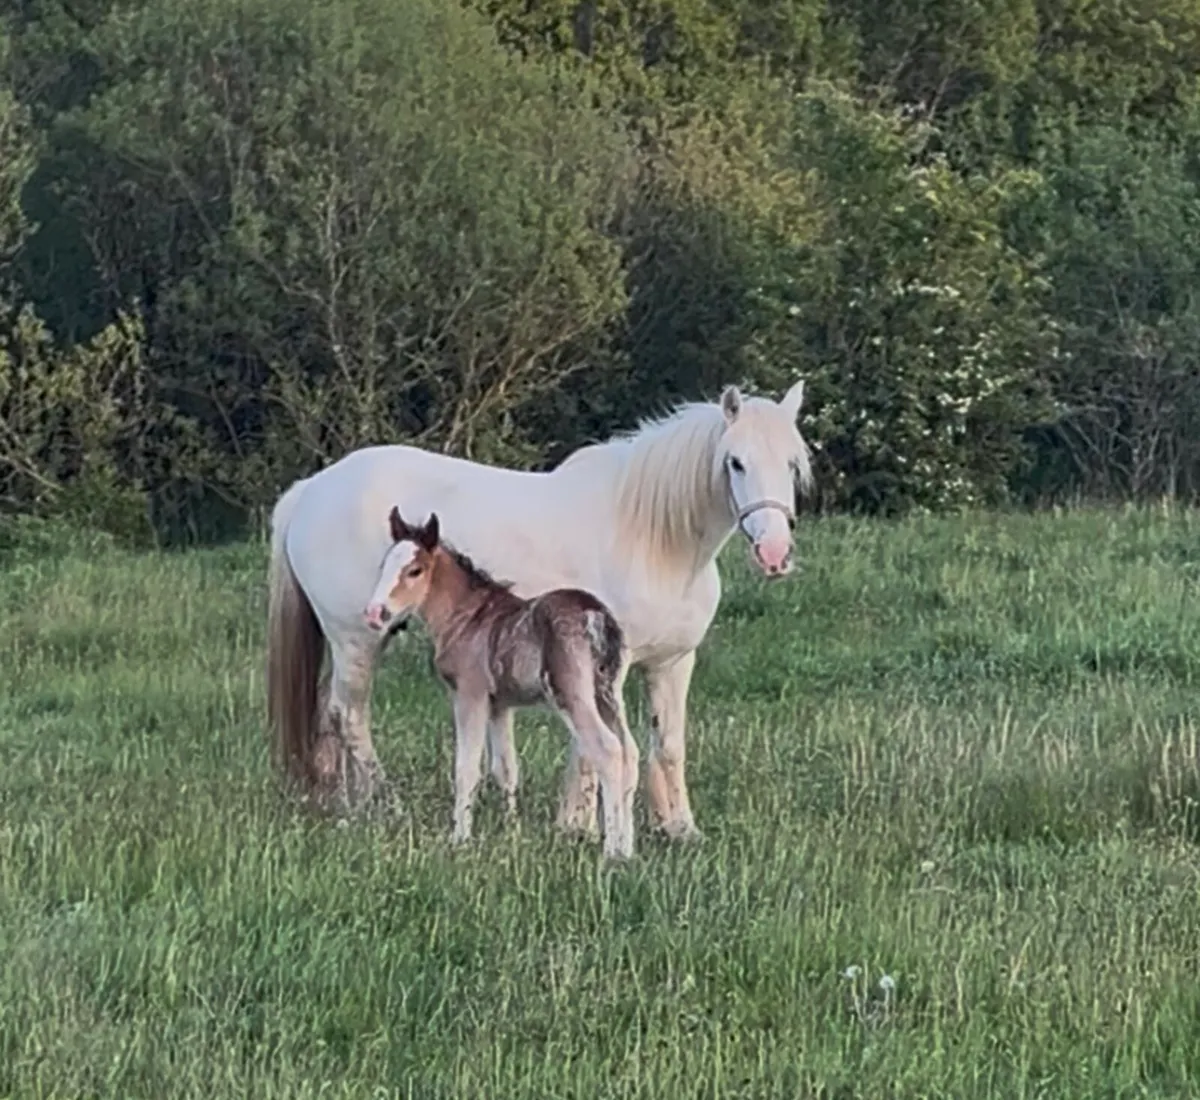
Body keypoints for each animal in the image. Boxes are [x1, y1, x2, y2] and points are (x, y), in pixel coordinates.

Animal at [363, 506, 638, 859]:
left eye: (415, 570)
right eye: (384, 565)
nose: (375, 613)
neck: (466, 617)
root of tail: (596, 616)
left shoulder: (470, 693)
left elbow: (466, 768)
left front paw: (460, 839)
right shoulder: (500, 704)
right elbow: (505, 769)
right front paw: (513, 834)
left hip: (571, 693)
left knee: (609, 750)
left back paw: (612, 851)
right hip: (609, 693)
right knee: (630, 752)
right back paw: (628, 849)